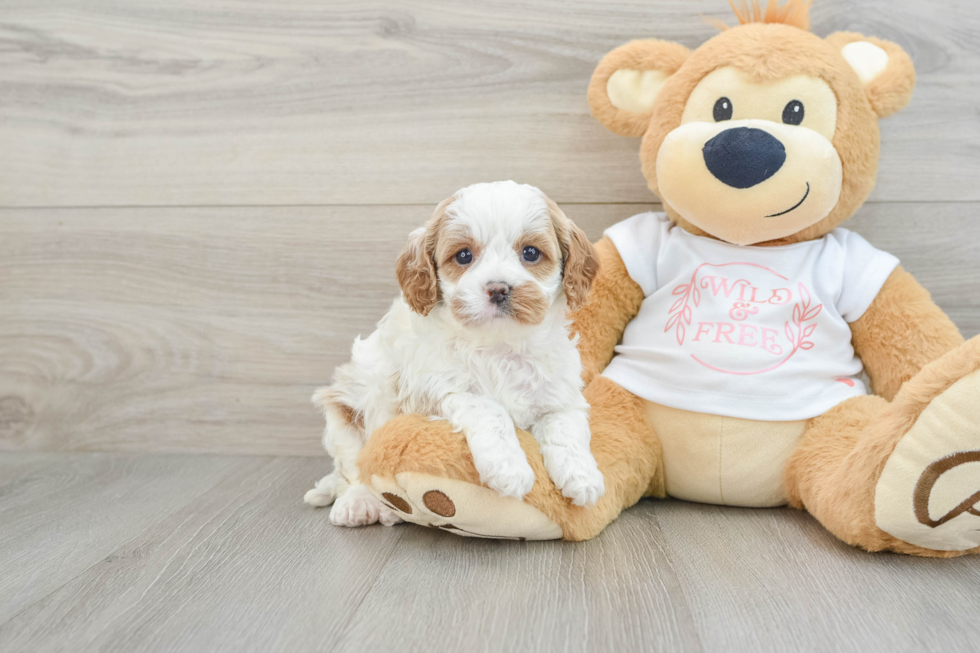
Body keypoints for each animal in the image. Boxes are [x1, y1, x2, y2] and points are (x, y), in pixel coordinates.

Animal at [304, 181, 604, 528]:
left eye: (530, 252)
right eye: (463, 255)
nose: (498, 288)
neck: (498, 345)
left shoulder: (560, 394)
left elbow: (566, 427)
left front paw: (583, 477)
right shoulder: (433, 389)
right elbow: (489, 409)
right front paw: (509, 469)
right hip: (345, 410)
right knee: (352, 471)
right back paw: (361, 503)